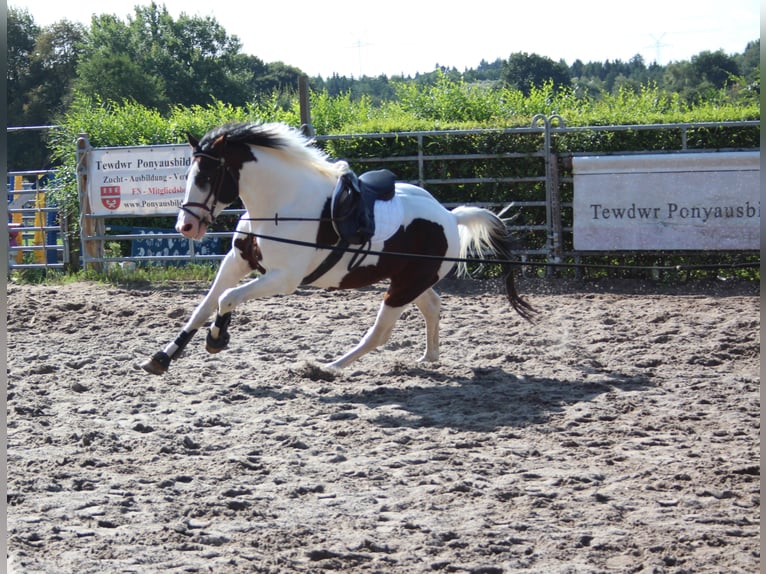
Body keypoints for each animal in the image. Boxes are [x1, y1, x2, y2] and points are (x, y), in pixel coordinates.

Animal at [141, 122, 535, 375]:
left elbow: (226, 300)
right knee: (433, 308)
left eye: (207, 176)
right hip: (410, 281)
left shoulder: (282, 279)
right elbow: (204, 305)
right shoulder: (236, 262)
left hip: (402, 287)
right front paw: (162, 357)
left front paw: (218, 338)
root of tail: (450, 217)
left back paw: (328, 367)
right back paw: (429, 357)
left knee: (380, 333)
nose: (186, 226)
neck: (282, 204)